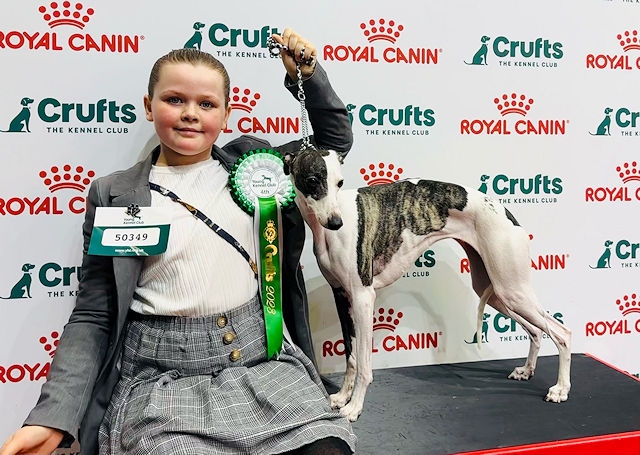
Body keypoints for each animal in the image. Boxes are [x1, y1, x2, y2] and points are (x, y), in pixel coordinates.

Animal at [282, 150, 572, 424]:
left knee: (561, 331)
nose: (336, 222)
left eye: (339, 182)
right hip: (496, 291)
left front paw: (354, 407)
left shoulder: (363, 297)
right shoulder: (342, 297)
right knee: (536, 330)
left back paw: (560, 389)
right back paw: (527, 370)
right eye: (313, 180)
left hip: (512, 287)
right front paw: (342, 397)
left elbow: (363, 363)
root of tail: (505, 212)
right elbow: (351, 358)